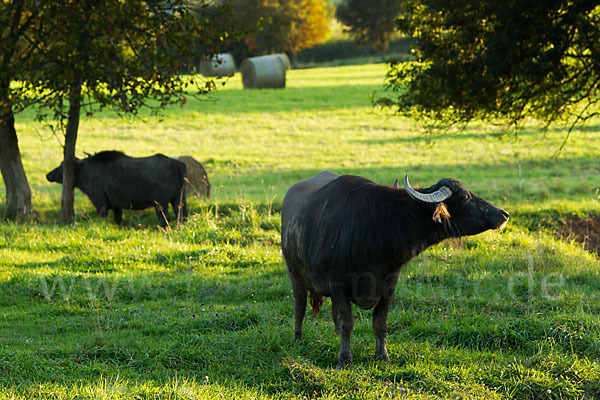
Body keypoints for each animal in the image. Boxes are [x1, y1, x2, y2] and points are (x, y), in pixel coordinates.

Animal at [46, 151, 186, 227]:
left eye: (63, 165)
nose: (48, 175)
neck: (87, 172)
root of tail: (176, 164)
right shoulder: (117, 206)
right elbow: (118, 219)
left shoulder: (100, 203)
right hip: (179, 199)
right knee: (182, 215)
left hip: (160, 203)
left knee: (165, 218)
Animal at [282, 172, 506, 368]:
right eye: (465, 197)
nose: (503, 214)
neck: (376, 230)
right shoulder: (338, 285)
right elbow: (348, 323)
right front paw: (344, 360)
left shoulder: (389, 286)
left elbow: (379, 323)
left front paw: (382, 356)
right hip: (295, 276)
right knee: (299, 307)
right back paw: (297, 338)